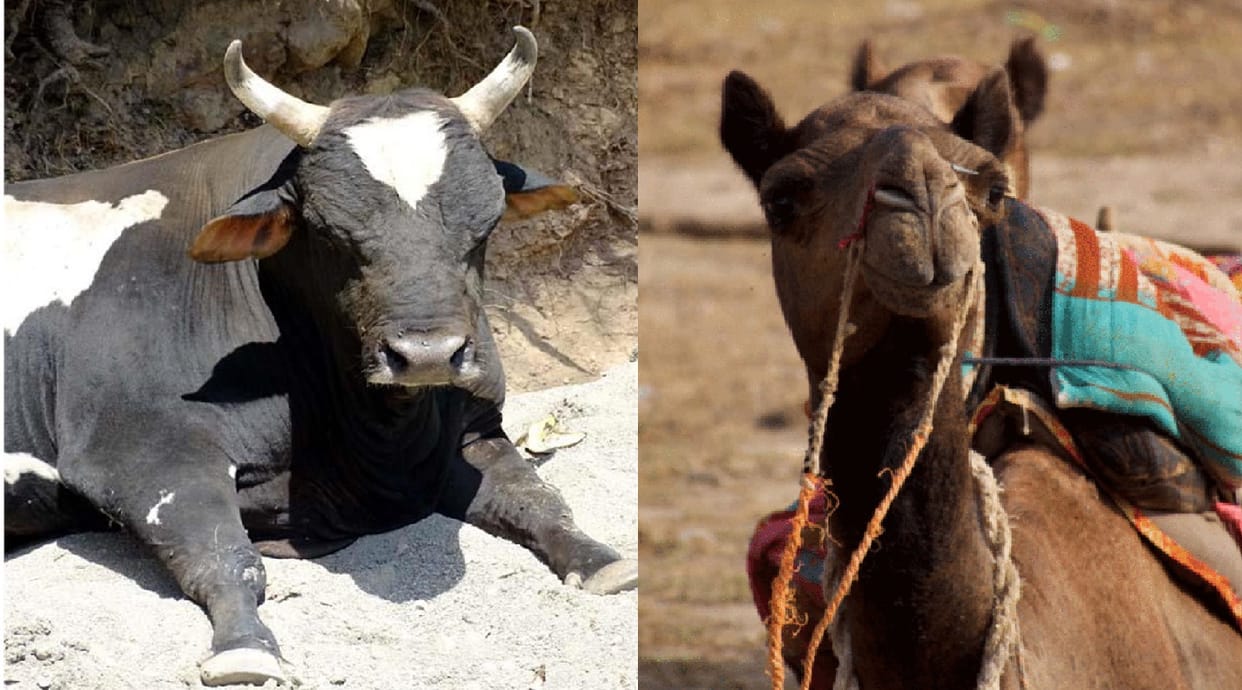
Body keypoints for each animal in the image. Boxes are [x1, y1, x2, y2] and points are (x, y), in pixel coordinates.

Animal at [4, 26, 637, 686]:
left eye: (484, 226)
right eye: (331, 234)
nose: (428, 354)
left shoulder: (474, 427)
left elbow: (539, 499)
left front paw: (601, 560)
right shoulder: (139, 449)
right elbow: (224, 556)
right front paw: (246, 646)